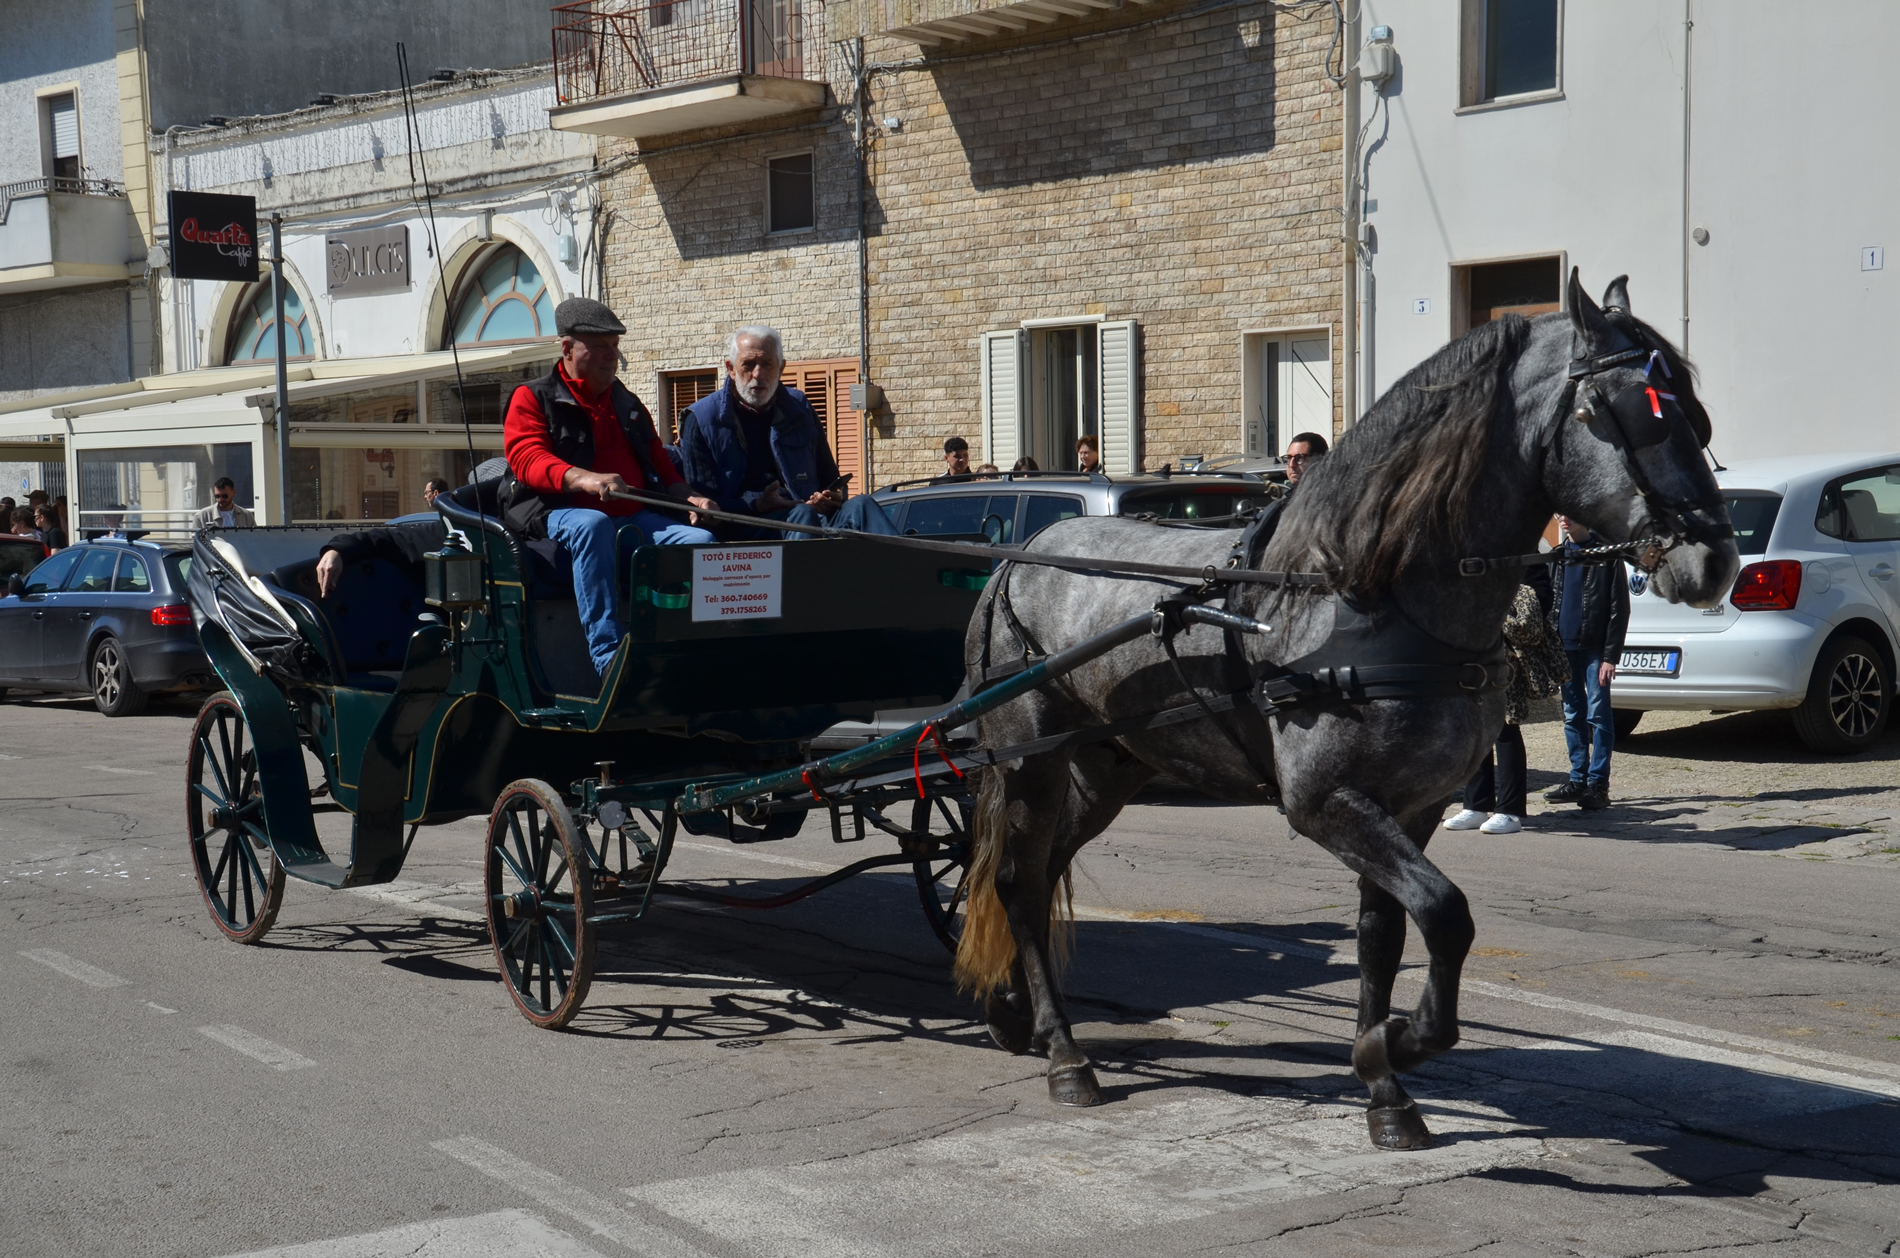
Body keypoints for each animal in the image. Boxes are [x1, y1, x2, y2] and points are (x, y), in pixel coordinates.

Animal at [952, 271, 1740, 1151]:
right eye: (1625, 410)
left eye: (1695, 413)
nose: (1716, 561)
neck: (1367, 592)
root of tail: (1019, 559)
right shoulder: (1327, 803)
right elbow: (1445, 914)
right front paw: (1395, 1044)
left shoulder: (1410, 805)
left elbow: (1383, 936)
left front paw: (1385, 1085)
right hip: (1032, 761)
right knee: (1018, 880)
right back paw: (1065, 1054)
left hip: (1106, 769)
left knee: (1037, 873)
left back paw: (1014, 1011)